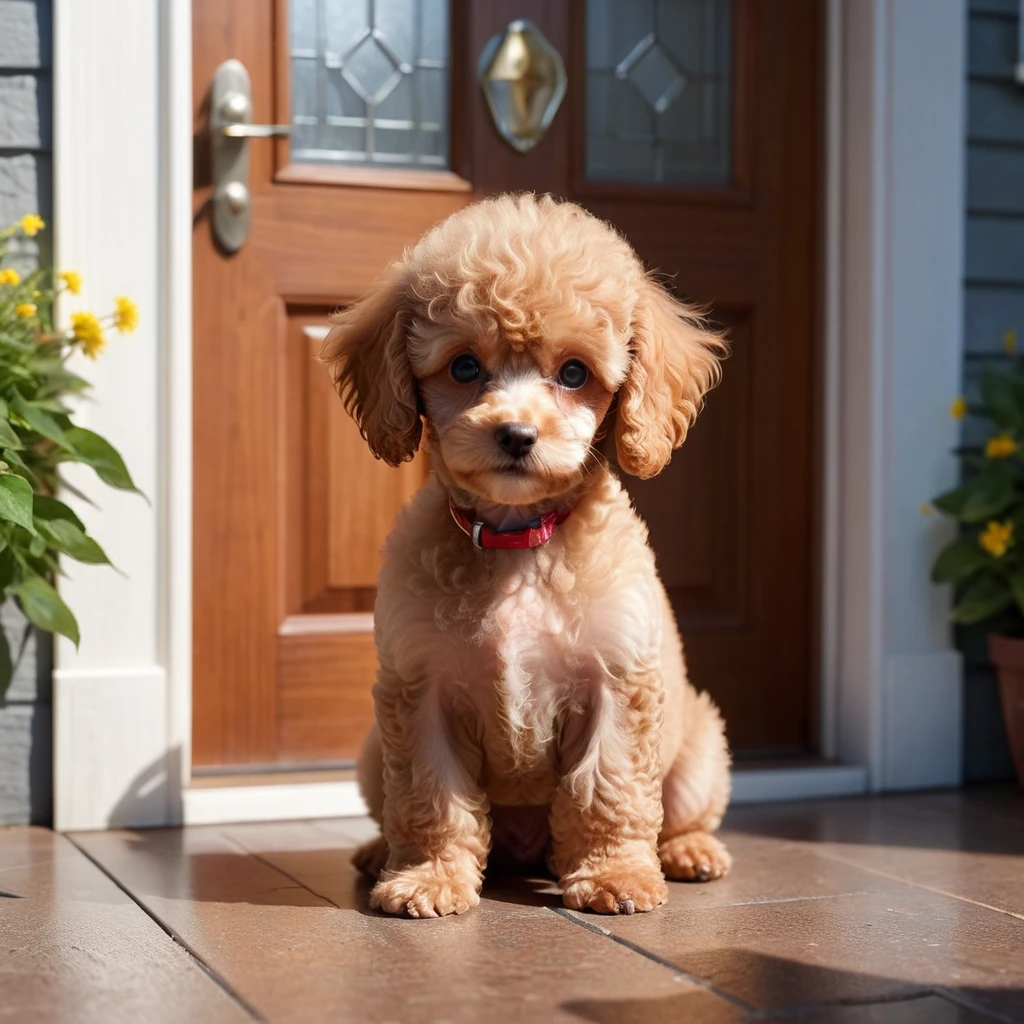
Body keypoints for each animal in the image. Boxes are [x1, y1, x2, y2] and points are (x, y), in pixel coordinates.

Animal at [323, 192, 733, 921]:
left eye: (574, 373)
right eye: (463, 366)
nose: (516, 434)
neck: (518, 542)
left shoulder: (615, 682)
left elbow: (608, 789)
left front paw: (614, 876)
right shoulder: (420, 690)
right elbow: (430, 797)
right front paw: (428, 878)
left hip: (700, 749)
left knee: (683, 812)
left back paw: (688, 852)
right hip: (371, 751)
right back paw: (377, 853)